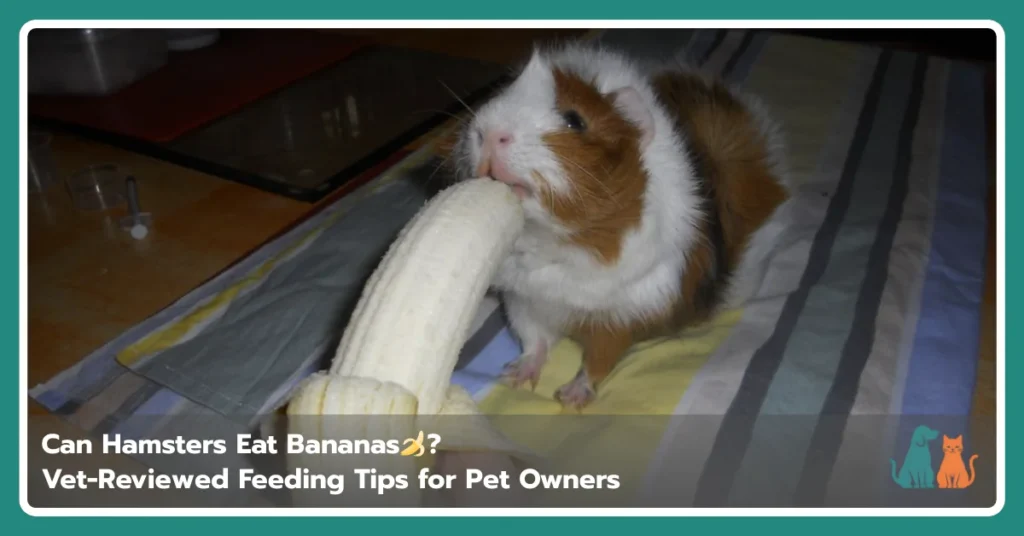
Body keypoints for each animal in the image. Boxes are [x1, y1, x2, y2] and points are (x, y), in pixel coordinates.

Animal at [437, 42, 790, 410]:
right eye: (501, 92)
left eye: (574, 119)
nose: (489, 132)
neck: (553, 245)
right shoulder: (524, 303)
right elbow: (535, 343)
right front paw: (514, 377)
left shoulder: (621, 317)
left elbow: (597, 363)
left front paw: (569, 398)